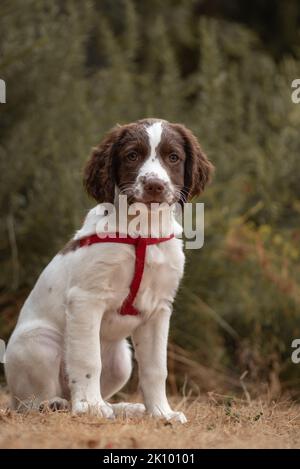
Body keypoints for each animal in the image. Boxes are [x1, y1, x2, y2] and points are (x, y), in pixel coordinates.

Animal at [4, 117, 212, 420]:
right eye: (132, 155)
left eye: (173, 157)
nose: (154, 185)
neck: (142, 232)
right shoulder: (86, 298)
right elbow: (88, 360)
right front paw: (89, 408)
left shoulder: (159, 309)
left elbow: (155, 368)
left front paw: (161, 413)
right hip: (38, 343)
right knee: (27, 404)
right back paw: (57, 404)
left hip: (121, 359)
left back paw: (123, 408)